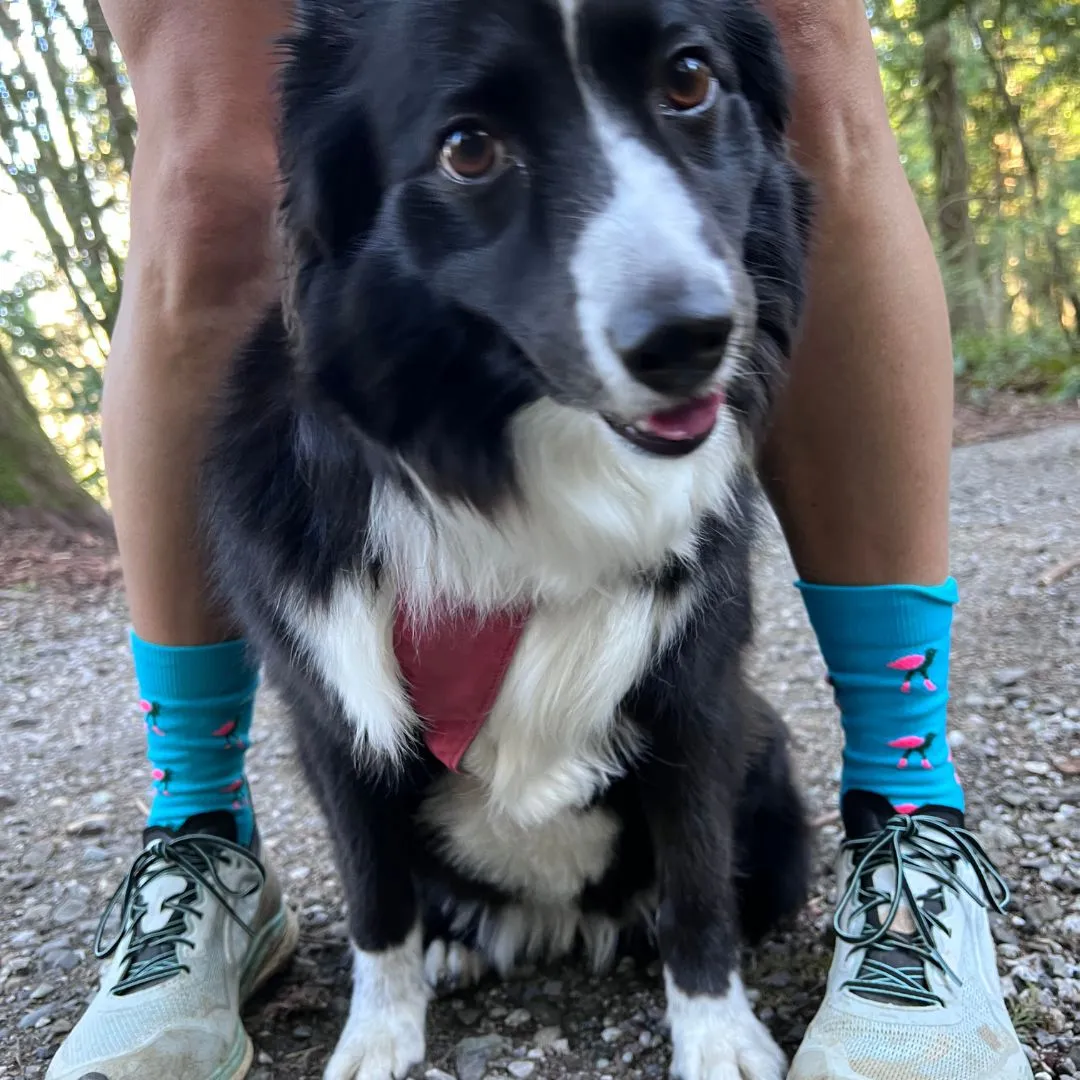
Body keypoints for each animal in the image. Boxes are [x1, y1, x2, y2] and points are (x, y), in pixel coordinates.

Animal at [200, 0, 812, 1075]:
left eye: (688, 79)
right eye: (468, 148)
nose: (691, 339)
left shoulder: (698, 699)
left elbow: (698, 886)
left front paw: (716, 1033)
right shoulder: (330, 721)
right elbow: (376, 899)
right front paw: (381, 1029)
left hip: (766, 754)